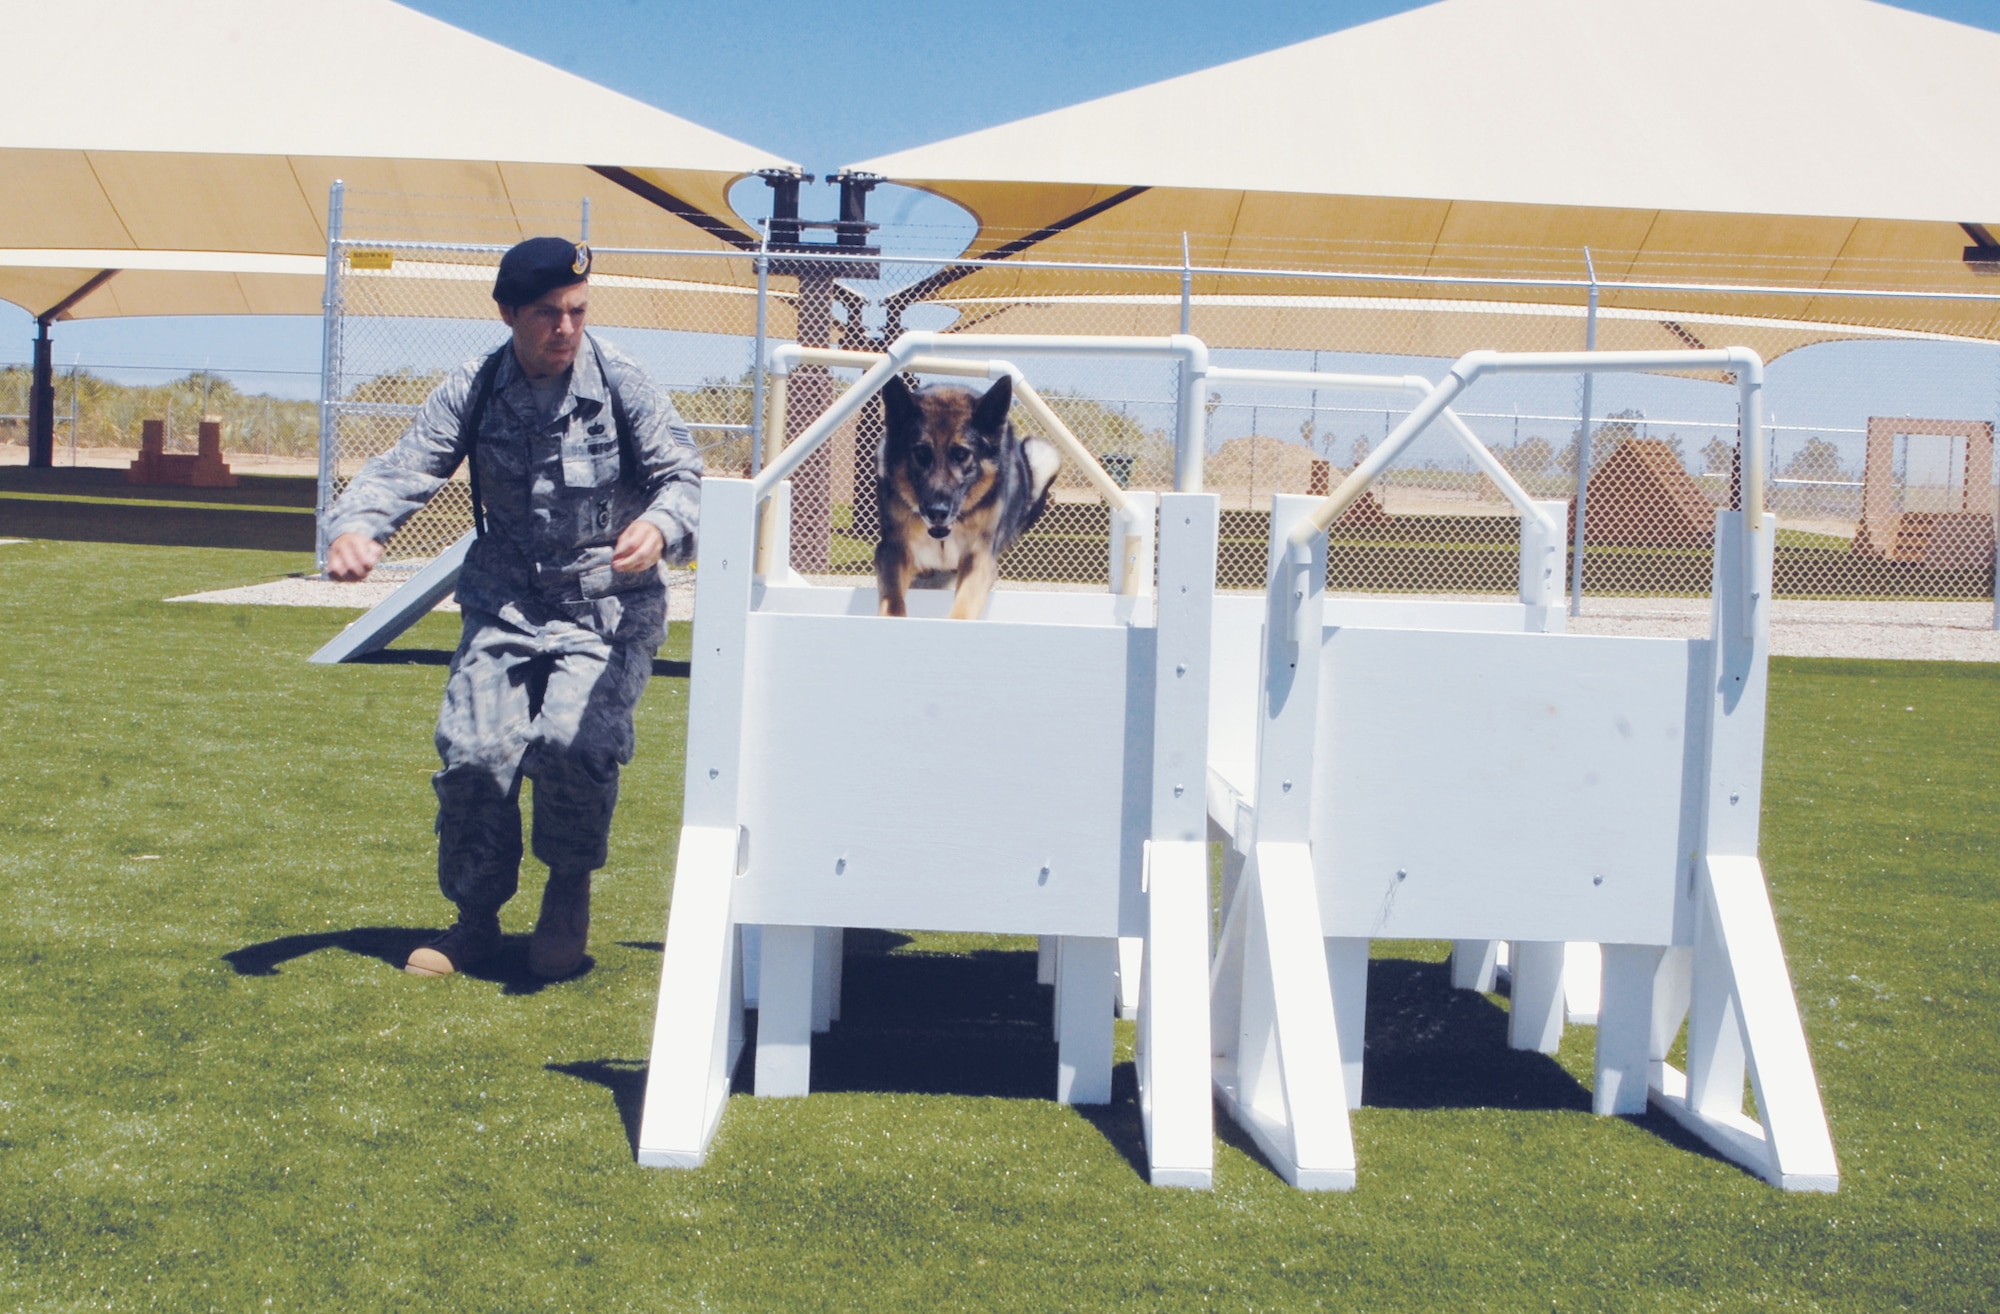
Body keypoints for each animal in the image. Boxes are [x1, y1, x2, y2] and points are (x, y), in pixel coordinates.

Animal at [876, 368, 1064, 616]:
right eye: (921, 454)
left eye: (961, 454)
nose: (937, 512)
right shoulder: (892, 550)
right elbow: (894, 602)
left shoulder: (978, 558)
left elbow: (963, 607)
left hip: (1044, 453)